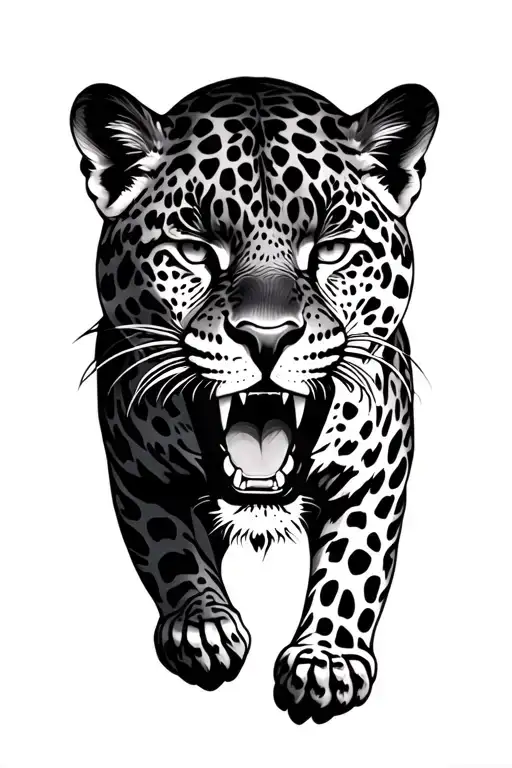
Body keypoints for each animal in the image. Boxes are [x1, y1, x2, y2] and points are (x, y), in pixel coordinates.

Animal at [70, 76, 438, 724]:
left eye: (331, 250)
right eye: (194, 251)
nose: (267, 336)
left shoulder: (379, 473)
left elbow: (356, 563)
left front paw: (327, 660)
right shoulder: (138, 471)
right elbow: (169, 547)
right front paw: (203, 626)